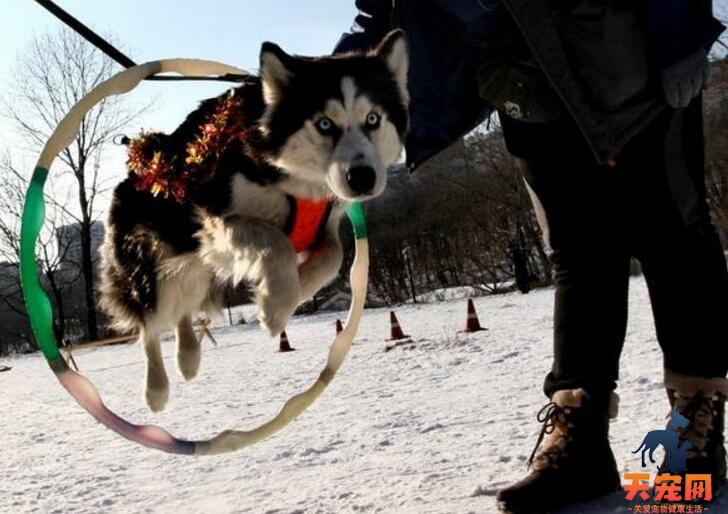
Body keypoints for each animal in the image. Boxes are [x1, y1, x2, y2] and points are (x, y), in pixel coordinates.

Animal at [98, 31, 410, 408]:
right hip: (150, 265)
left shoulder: (325, 223)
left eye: (374, 119)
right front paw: (274, 308)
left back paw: (188, 356)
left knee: (183, 307)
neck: (297, 179)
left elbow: (332, 257)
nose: (362, 178)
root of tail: (141, 161)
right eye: (324, 124)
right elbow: (277, 242)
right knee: (149, 323)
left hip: (195, 267)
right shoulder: (217, 219)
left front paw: (292, 290)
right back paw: (155, 388)